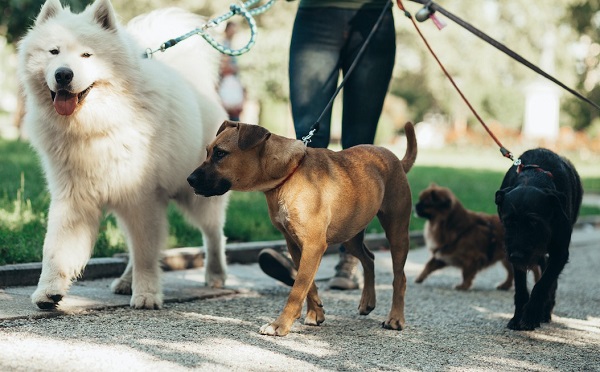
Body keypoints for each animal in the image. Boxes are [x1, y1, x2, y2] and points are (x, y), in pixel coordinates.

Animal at [18, 0, 230, 310]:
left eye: (86, 54)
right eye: (53, 52)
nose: (63, 74)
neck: (96, 125)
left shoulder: (142, 197)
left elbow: (146, 254)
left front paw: (146, 294)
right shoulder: (73, 197)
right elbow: (56, 248)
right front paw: (48, 291)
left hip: (196, 195)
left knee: (213, 235)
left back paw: (215, 275)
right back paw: (125, 281)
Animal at [188, 120, 418, 336]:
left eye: (220, 153)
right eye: (208, 151)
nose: (189, 180)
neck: (288, 175)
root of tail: (396, 161)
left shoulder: (313, 245)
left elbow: (297, 289)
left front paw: (280, 324)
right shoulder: (296, 244)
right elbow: (308, 284)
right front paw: (315, 312)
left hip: (397, 232)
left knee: (400, 278)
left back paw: (395, 318)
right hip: (350, 234)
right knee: (369, 259)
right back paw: (367, 301)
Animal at [494, 147, 584, 330]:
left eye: (534, 222)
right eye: (508, 221)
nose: (517, 256)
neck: (533, 178)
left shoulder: (560, 253)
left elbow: (543, 284)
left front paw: (531, 315)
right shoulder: (515, 255)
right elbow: (521, 287)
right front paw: (517, 317)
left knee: (550, 281)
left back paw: (545, 311)